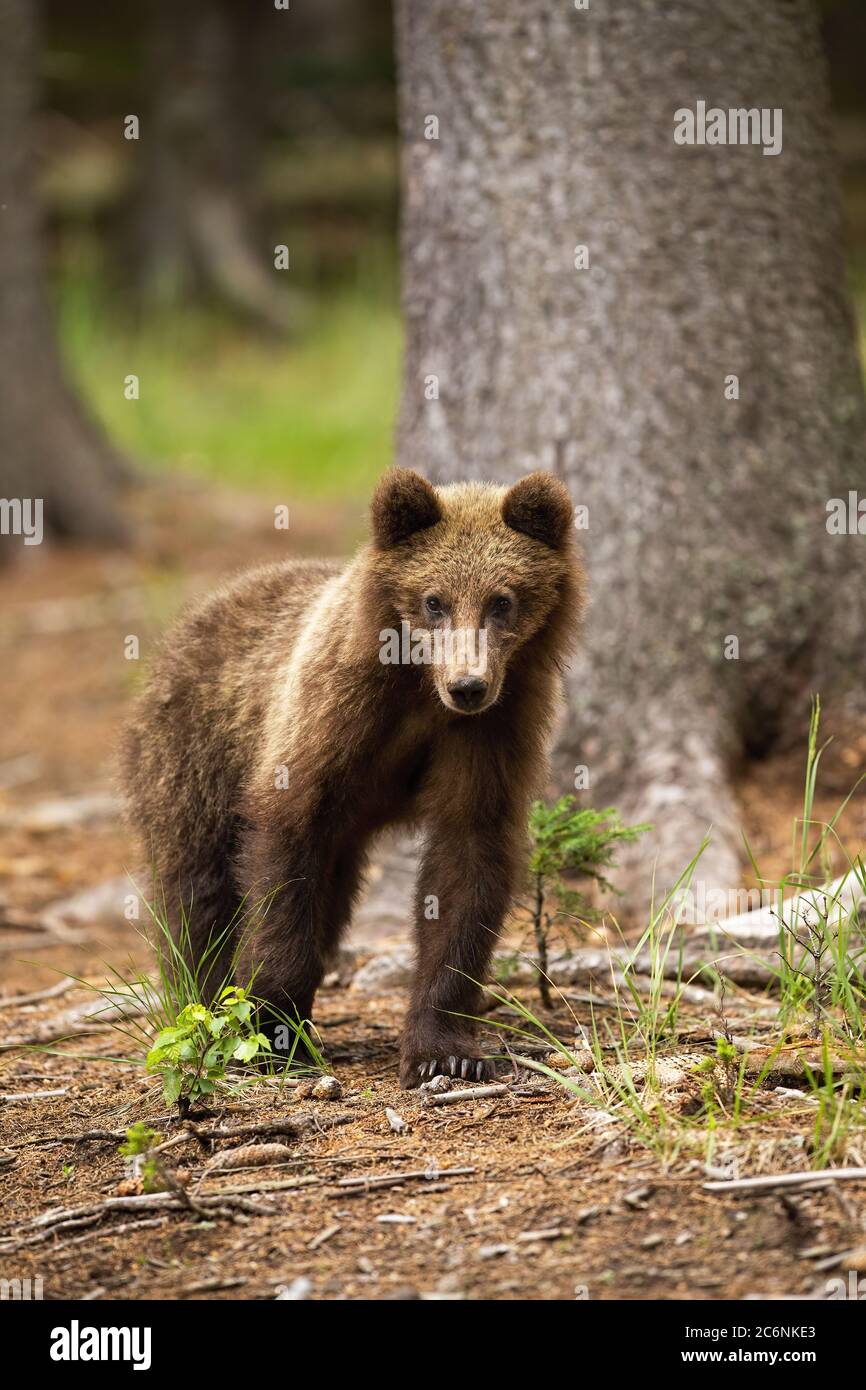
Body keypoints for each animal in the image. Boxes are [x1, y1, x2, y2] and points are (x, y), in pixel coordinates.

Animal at [121, 468, 584, 1087]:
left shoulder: (493, 730)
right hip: (194, 752)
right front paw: (271, 1028)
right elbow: (284, 856)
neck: (418, 687)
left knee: (333, 896)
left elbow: (467, 861)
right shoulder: (332, 714)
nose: (467, 685)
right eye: (434, 600)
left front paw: (446, 1052)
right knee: (196, 886)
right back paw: (204, 1003)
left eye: (502, 601)